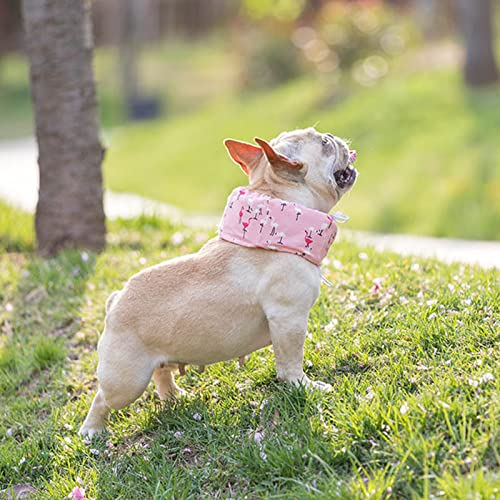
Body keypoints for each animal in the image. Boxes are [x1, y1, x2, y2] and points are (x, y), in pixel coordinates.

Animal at [80, 128, 358, 438]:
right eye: (324, 143)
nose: (333, 135)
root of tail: (115, 300)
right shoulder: (288, 318)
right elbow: (290, 363)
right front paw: (304, 386)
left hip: (155, 359)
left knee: (161, 372)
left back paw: (175, 397)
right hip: (127, 381)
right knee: (103, 398)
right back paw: (92, 429)